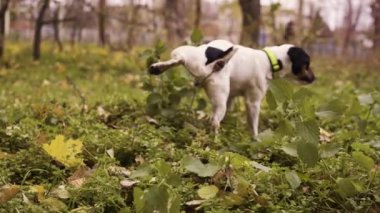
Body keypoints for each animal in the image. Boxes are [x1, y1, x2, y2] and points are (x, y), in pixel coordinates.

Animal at [148, 39, 314, 137]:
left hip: (185, 53)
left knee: (178, 59)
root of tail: (217, 60)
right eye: (307, 64)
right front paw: (256, 140)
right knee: (215, 122)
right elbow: (254, 127)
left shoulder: (231, 98)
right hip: (220, 99)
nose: (314, 78)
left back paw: (158, 67)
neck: (269, 59)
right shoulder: (253, 102)